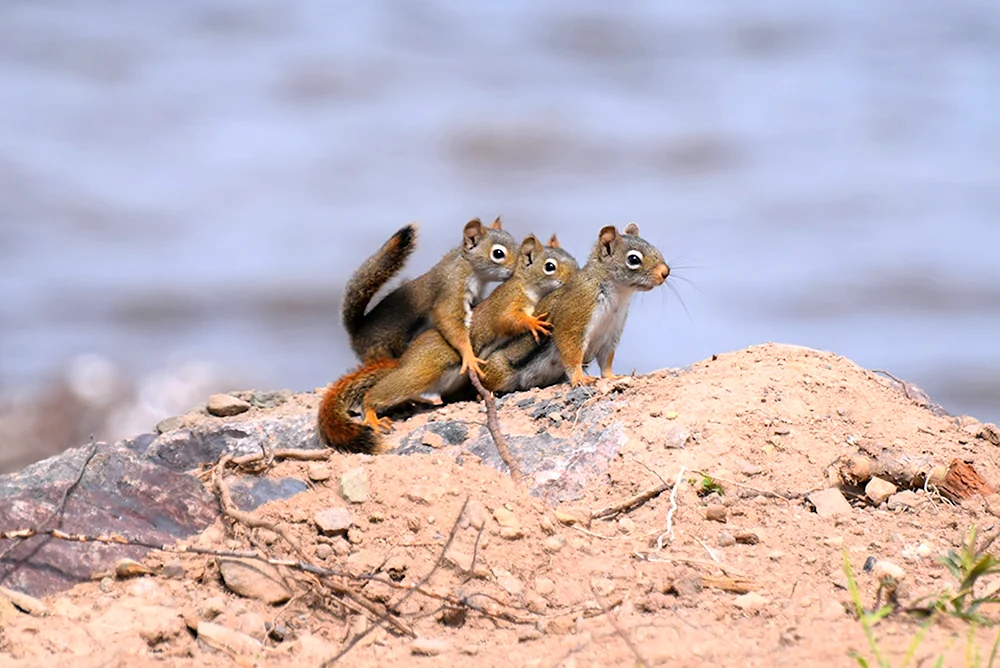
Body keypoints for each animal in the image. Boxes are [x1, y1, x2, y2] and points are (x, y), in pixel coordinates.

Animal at [316, 235, 576, 454]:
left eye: (573, 260)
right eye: (550, 266)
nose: (574, 278)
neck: (528, 287)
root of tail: (405, 360)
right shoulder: (507, 302)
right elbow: (509, 320)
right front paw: (533, 322)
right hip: (421, 371)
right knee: (381, 391)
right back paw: (371, 414)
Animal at [340, 219, 520, 376]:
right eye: (498, 253)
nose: (516, 269)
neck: (469, 267)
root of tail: (357, 334)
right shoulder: (451, 287)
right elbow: (448, 318)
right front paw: (469, 356)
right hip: (381, 350)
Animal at [478, 224, 668, 392]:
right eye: (634, 259)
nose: (665, 272)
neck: (618, 295)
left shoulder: (610, 333)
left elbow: (606, 360)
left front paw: (612, 376)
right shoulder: (576, 312)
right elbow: (571, 351)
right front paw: (579, 379)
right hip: (499, 370)